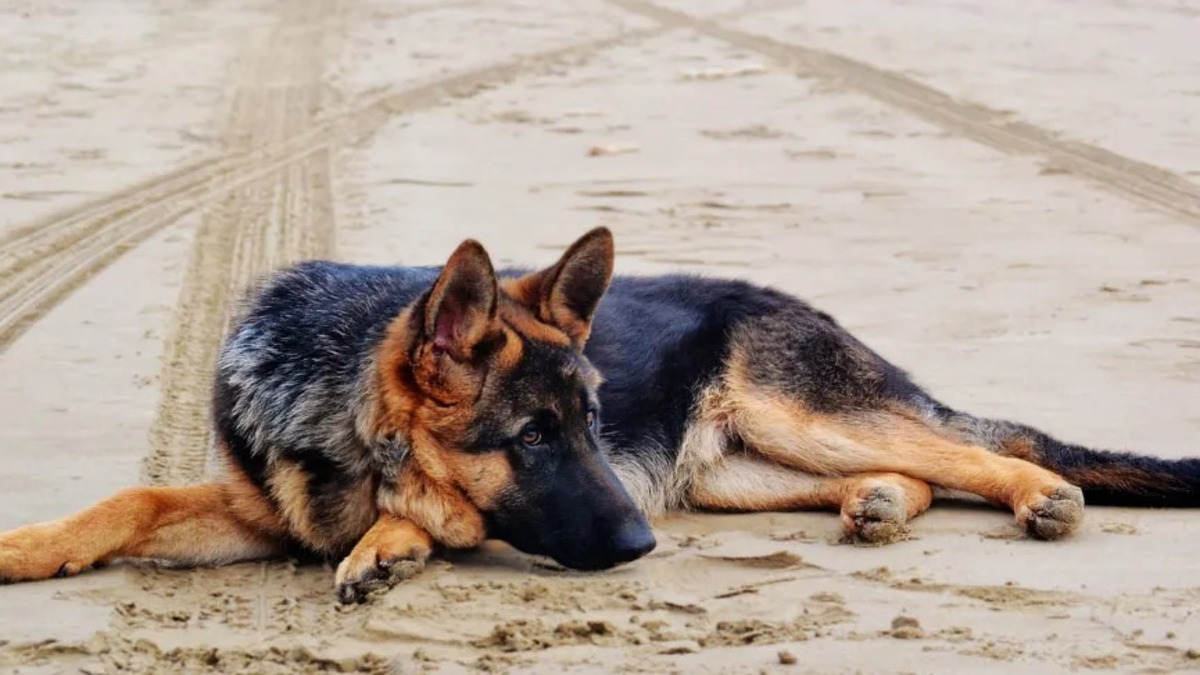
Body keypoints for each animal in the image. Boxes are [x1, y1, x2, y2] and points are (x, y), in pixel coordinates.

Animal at [2, 227, 1200, 598]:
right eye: (536, 437)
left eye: (587, 424)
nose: (638, 546)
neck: (334, 410)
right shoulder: (255, 508)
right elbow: (131, 499)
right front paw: (31, 545)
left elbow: (427, 509)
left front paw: (392, 542)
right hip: (729, 474)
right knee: (915, 466)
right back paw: (877, 508)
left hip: (793, 414)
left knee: (971, 446)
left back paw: (1042, 495)